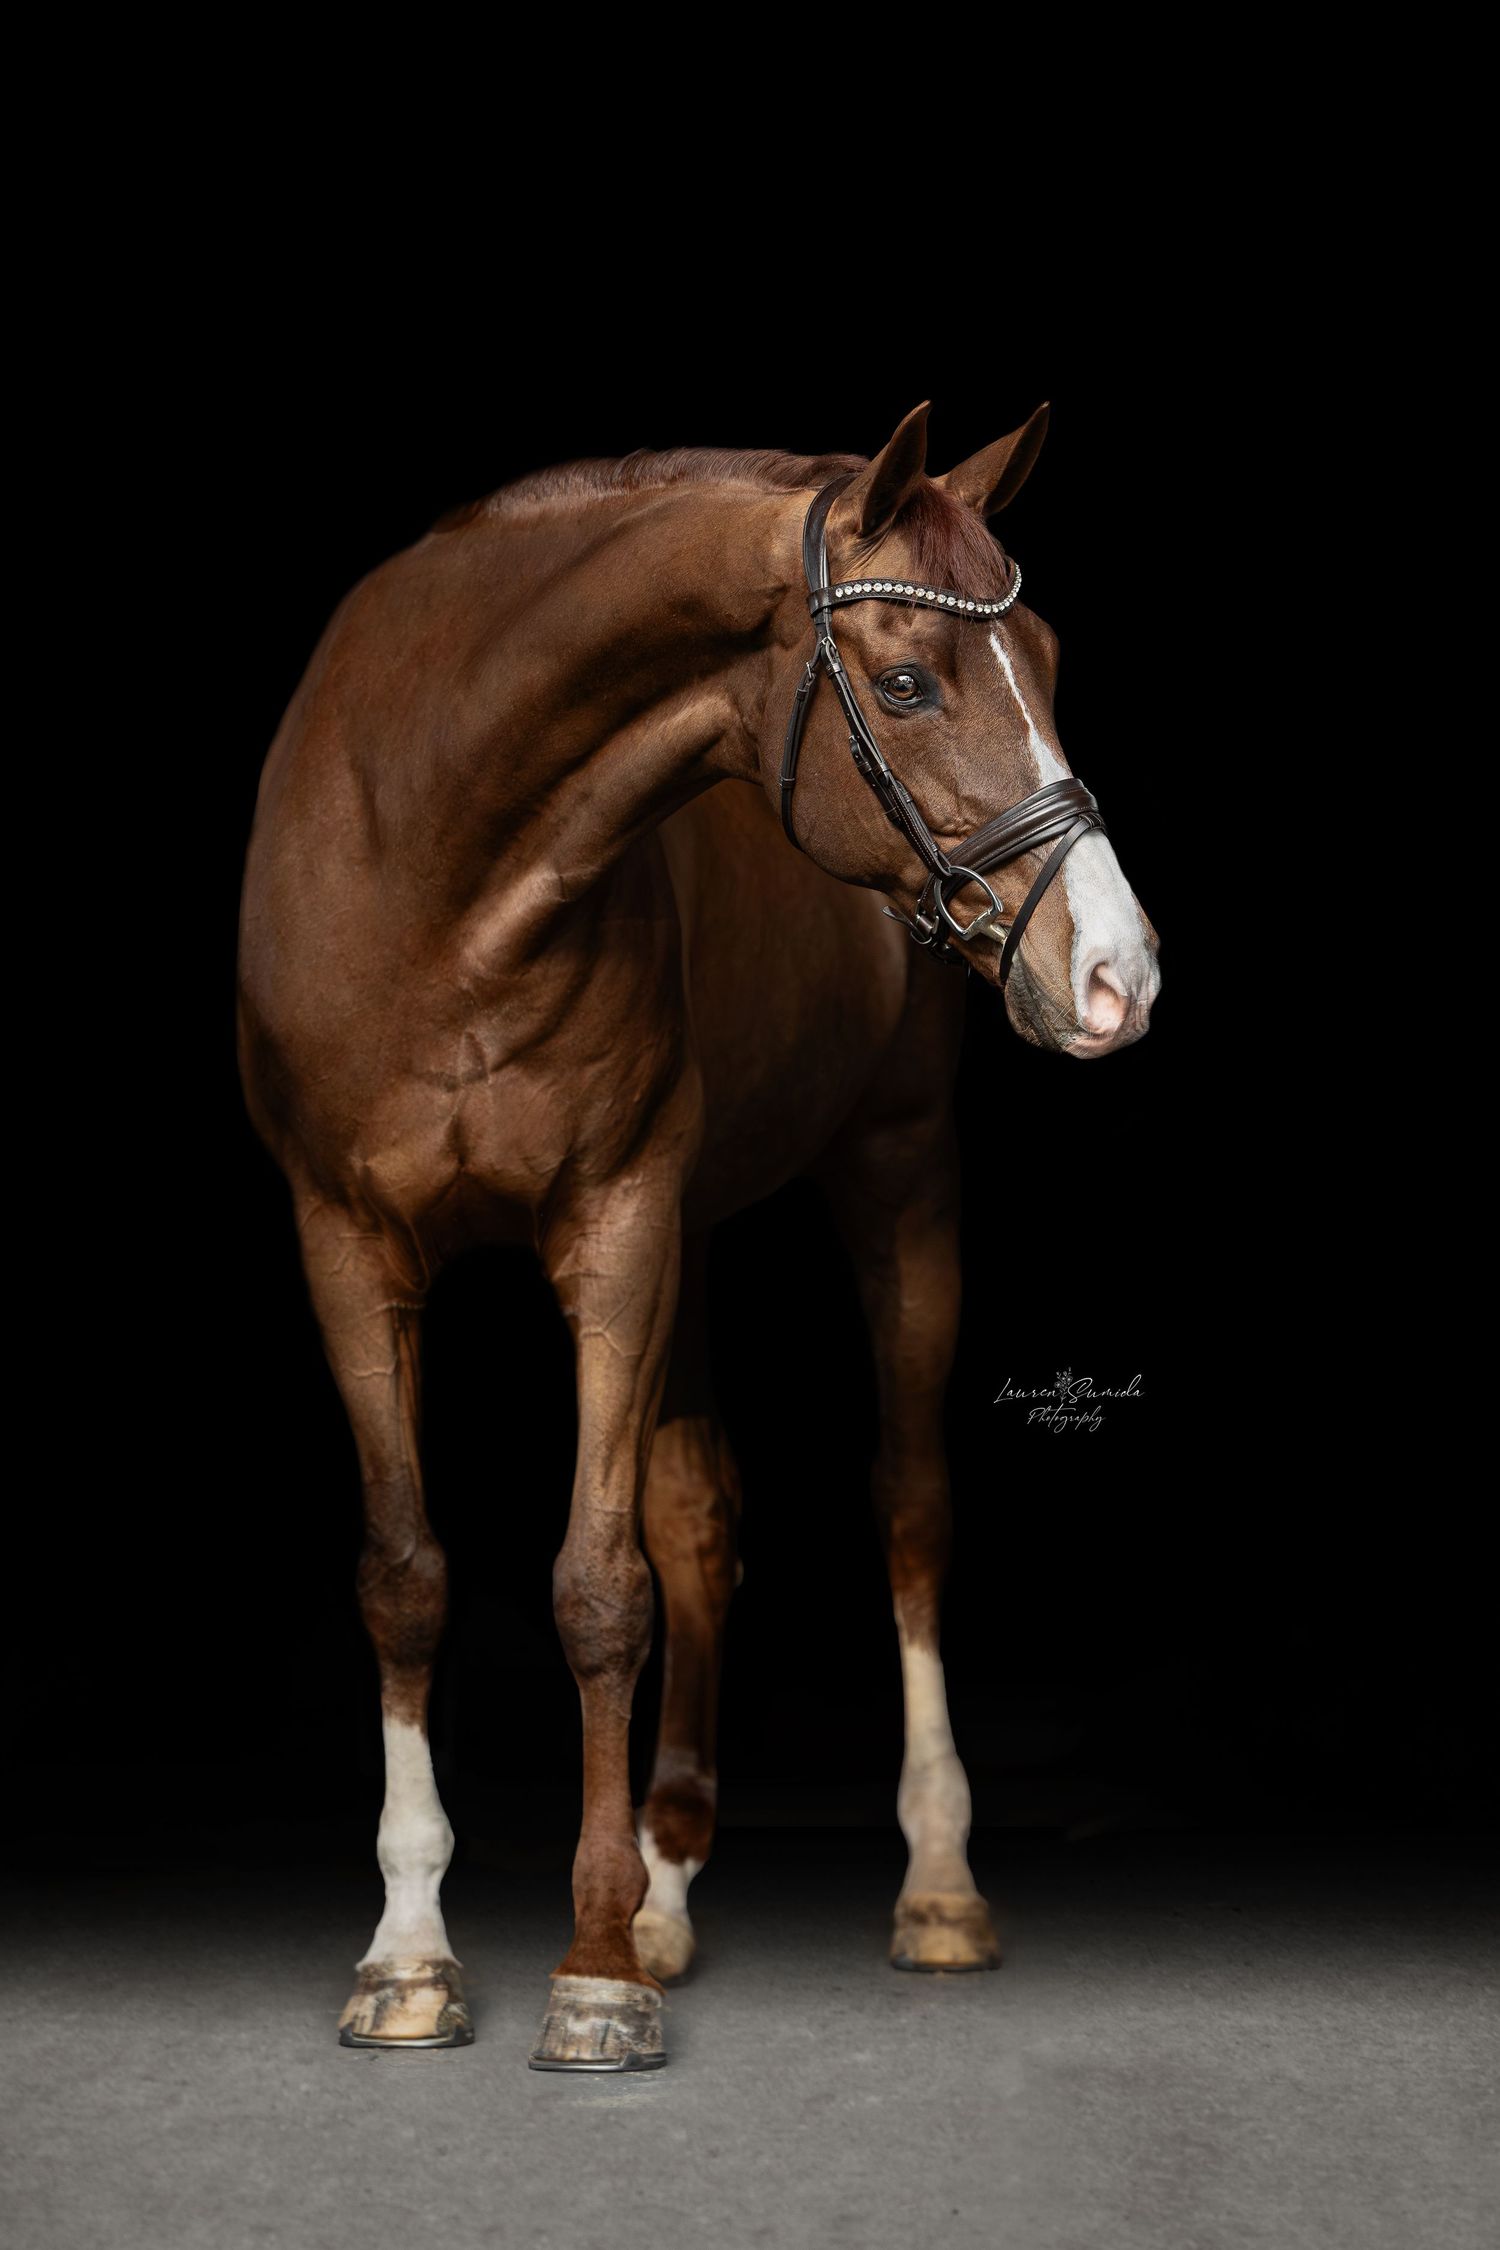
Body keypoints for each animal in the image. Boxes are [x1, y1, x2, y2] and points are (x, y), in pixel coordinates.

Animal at [236, 401, 1160, 2071]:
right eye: (910, 681)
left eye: (1050, 657)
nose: (1119, 970)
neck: (441, 867)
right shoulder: (348, 1241)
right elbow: (410, 1569)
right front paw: (410, 1953)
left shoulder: (617, 1225)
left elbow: (600, 1586)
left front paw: (594, 1967)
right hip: (701, 1224)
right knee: (700, 1515)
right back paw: (669, 1884)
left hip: (894, 1170)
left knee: (908, 1507)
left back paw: (934, 1883)